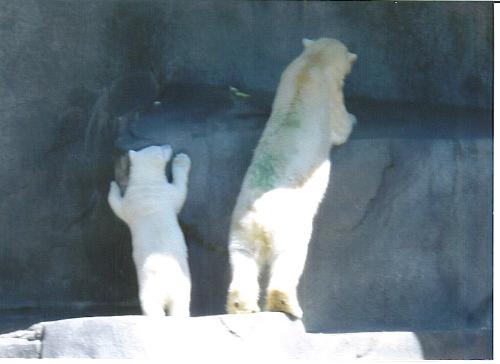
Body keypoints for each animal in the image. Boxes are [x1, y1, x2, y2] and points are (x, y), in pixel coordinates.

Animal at [108, 145, 192, 316]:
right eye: (160, 147)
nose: (169, 146)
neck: (146, 184)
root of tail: (166, 289)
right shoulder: (166, 193)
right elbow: (180, 191)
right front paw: (182, 159)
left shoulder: (131, 200)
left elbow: (117, 206)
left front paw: (113, 184)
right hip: (159, 285)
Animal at [227, 37, 356, 318]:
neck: (313, 62)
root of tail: (258, 214)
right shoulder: (331, 97)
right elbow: (341, 128)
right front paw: (353, 118)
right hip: (290, 227)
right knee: (290, 258)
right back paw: (286, 304)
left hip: (240, 229)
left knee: (242, 259)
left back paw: (241, 305)